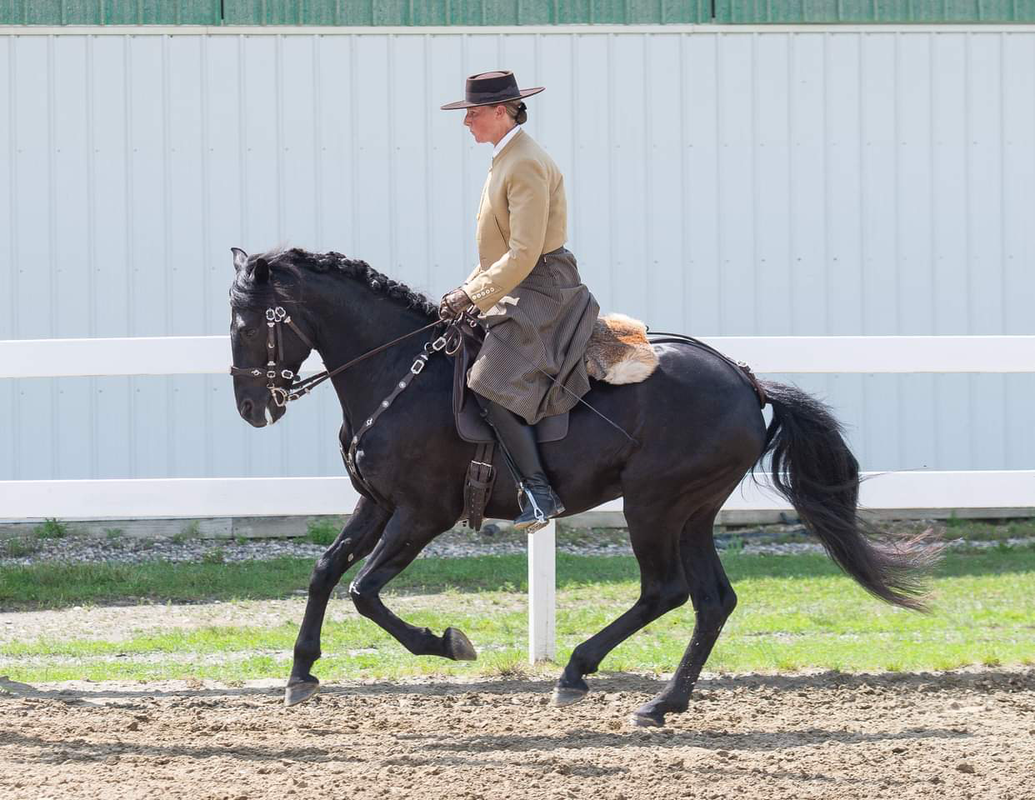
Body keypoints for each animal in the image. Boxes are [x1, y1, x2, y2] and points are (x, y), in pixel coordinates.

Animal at [230, 246, 935, 728]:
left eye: (248, 321)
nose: (251, 409)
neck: (401, 373)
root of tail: (745, 379)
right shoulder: (377, 502)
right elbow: (326, 570)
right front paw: (300, 671)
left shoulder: (422, 513)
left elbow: (365, 591)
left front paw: (447, 644)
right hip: (693, 511)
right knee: (712, 600)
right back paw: (663, 702)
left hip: (654, 504)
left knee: (665, 591)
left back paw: (580, 671)